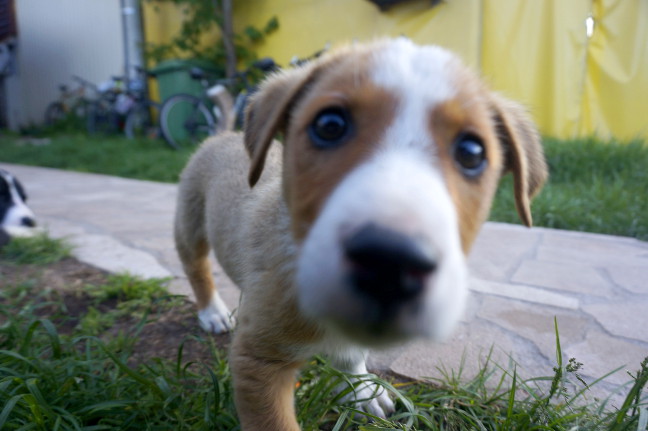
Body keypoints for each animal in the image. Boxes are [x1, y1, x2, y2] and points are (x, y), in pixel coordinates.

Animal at [173, 38, 548, 430]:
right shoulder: (258, 361)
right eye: (329, 125)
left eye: (472, 153)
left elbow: (351, 353)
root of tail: (222, 136)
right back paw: (212, 312)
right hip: (190, 220)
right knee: (196, 266)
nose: (390, 261)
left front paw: (361, 390)